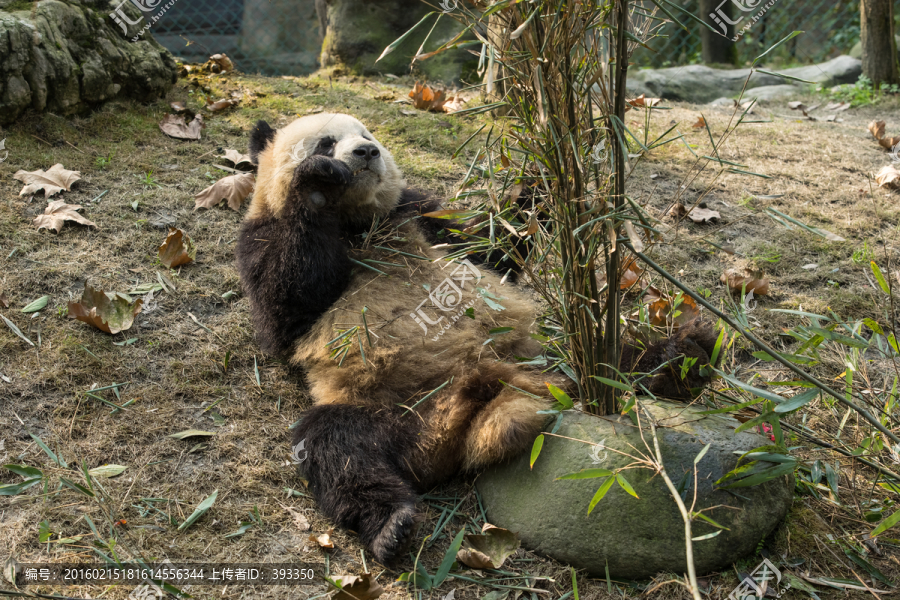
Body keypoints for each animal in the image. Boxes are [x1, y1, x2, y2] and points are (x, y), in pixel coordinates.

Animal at [236, 113, 720, 568]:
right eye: (326, 142)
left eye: (368, 134)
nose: (367, 153)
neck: (362, 222)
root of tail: (465, 416)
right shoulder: (262, 238)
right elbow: (286, 305)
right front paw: (317, 183)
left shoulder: (420, 214)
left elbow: (493, 244)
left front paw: (550, 158)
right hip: (387, 408)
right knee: (335, 448)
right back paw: (390, 525)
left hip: (545, 355)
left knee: (611, 359)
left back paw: (685, 358)